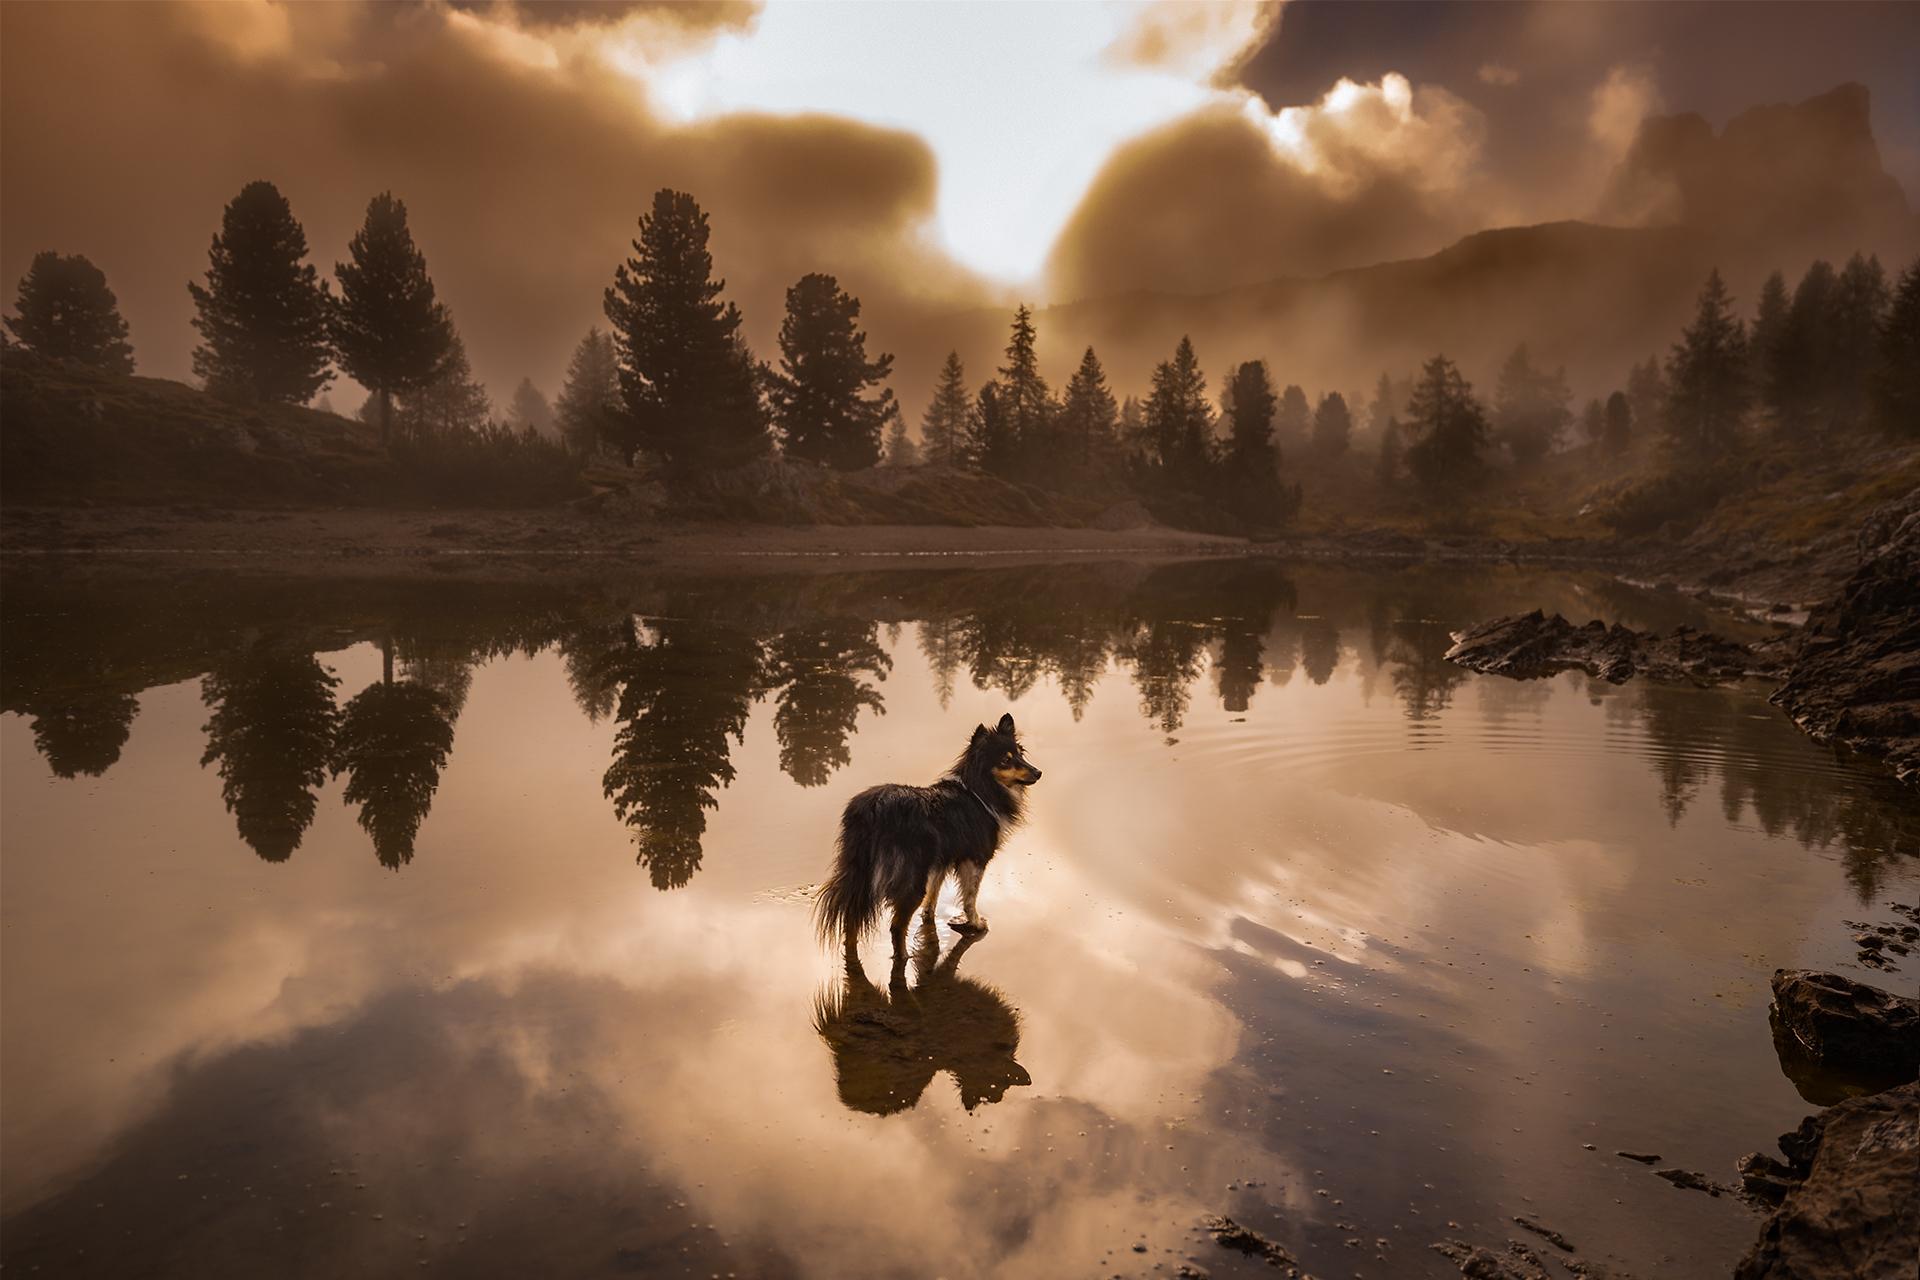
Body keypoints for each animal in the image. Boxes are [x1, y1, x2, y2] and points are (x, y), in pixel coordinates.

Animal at [814, 717, 1044, 955]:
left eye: (1020, 754)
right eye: (1005, 760)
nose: (1038, 772)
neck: (980, 789)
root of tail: (873, 810)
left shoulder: (941, 861)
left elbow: (933, 896)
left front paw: (929, 921)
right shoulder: (976, 858)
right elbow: (970, 897)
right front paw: (976, 923)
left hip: (861, 872)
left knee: (851, 919)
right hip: (911, 877)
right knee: (896, 925)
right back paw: (902, 956)